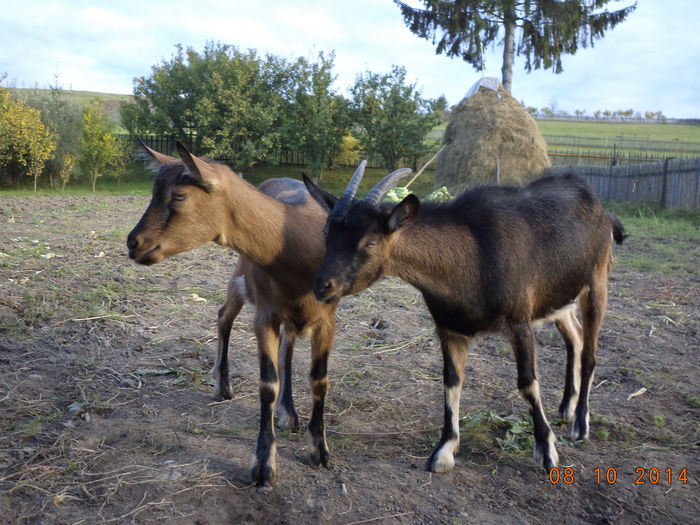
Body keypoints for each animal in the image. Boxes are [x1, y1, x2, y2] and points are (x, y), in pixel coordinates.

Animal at [126, 142, 352, 488]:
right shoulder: (265, 315)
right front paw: (263, 466)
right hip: (242, 275)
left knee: (287, 344)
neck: (299, 247)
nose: (133, 243)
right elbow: (268, 385)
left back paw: (288, 413)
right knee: (224, 316)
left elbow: (319, 380)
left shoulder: (327, 319)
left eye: (179, 195)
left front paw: (319, 451)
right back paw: (223, 386)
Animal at [304, 170, 624, 472]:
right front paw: (445, 450)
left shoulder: (518, 321)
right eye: (326, 232)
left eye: (370, 241)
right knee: (576, 338)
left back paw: (580, 424)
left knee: (591, 351)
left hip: (596, 282)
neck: (471, 256)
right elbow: (451, 381)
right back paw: (566, 407)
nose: (322, 286)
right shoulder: (449, 328)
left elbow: (527, 383)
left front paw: (546, 450)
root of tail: (600, 208)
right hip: (558, 298)